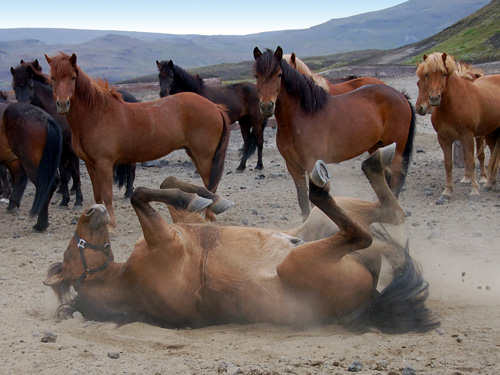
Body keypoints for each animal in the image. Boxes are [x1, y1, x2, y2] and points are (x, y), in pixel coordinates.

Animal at [45, 145, 438, 334]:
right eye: (71, 251)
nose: (92, 209)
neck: (128, 279)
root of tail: (372, 297)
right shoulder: (165, 240)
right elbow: (140, 194)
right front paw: (198, 196)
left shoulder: (178, 229)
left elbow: (168, 186)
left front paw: (207, 197)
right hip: (302, 258)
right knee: (363, 231)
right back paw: (321, 182)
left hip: (319, 225)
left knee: (389, 213)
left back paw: (373, 160)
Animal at [46, 52, 229, 229]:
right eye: (52, 78)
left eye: (72, 77)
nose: (62, 104)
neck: (97, 115)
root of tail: (215, 107)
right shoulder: (91, 164)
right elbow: (98, 195)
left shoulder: (104, 163)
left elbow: (107, 194)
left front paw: (111, 224)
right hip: (194, 153)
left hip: (204, 156)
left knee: (210, 183)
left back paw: (209, 216)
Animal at [254, 48, 414, 222]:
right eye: (256, 75)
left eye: (279, 74)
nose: (266, 106)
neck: (301, 117)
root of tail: (401, 96)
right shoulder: (294, 167)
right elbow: (303, 202)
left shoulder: (312, 164)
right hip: (377, 146)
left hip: (396, 150)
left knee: (396, 178)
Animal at [414, 52, 500, 203]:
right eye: (426, 75)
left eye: (443, 74)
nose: (434, 99)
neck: (452, 106)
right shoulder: (444, 138)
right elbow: (448, 164)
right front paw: (447, 191)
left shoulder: (468, 136)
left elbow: (471, 160)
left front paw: (474, 189)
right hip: (492, 132)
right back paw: (491, 183)